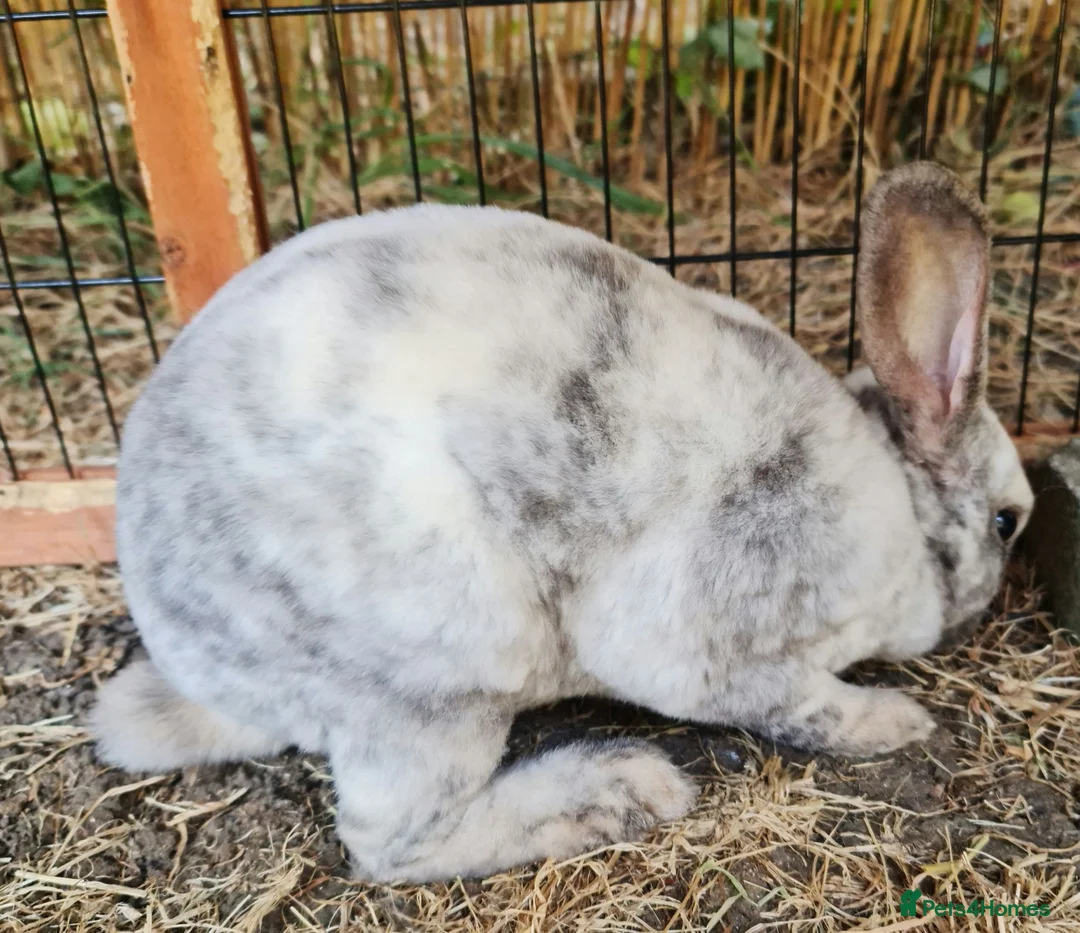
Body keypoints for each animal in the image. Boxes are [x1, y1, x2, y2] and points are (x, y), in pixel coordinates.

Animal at [91, 161, 1033, 884]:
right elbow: (801, 705)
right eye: (1008, 522)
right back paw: (624, 788)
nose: (990, 596)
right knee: (391, 843)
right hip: (443, 669)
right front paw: (896, 721)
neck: (897, 500)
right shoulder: (714, 645)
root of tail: (198, 661)